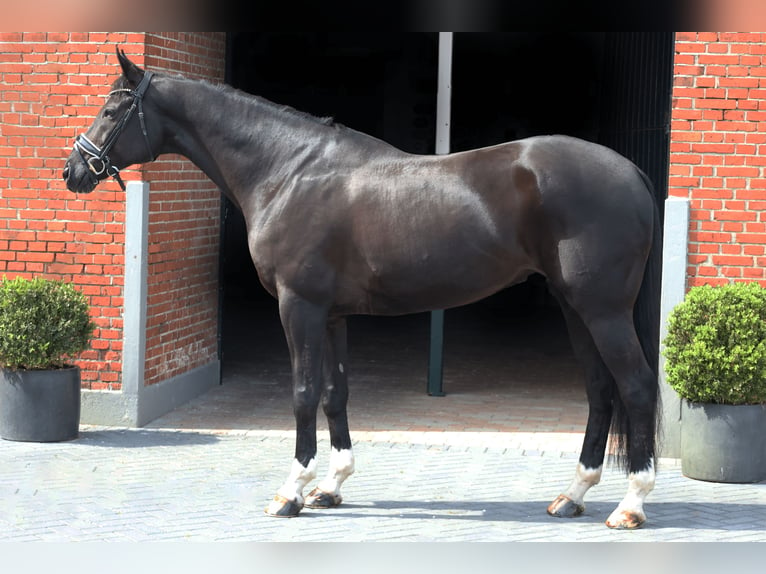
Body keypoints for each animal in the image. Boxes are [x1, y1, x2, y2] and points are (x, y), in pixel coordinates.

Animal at [63, 49, 664, 532]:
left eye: (113, 109)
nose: (74, 170)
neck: (287, 171)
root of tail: (633, 173)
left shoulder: (299, 307)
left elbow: (304, 393)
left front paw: (290, 493)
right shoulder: (332, 315)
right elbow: (336, 393)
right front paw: (331, 486)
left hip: (603, 310)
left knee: (634, 387)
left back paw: (630, 506)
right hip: (574, 307)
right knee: (600, 390)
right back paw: (573, 495)